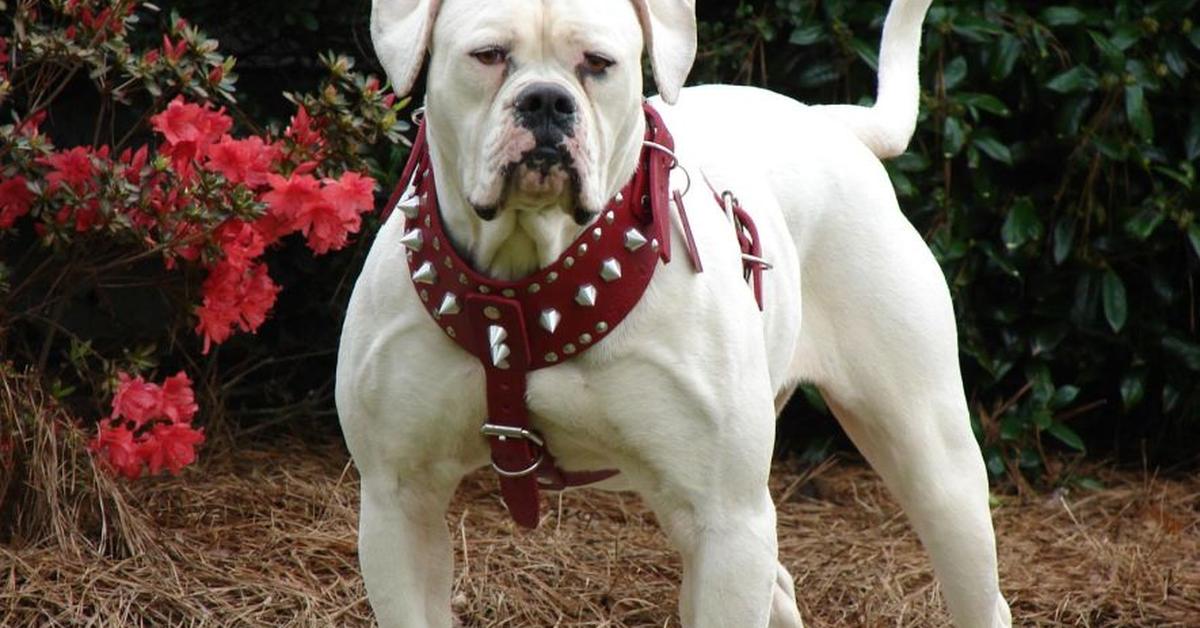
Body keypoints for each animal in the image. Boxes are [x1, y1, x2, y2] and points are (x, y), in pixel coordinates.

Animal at [336, 0, 1012, 624]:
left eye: (598, 64)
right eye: (488, 55)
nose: (547, 102)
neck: (526, 291)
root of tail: (833, 123)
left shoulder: (725, 520)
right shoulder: (398, 504)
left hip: (930, 458)